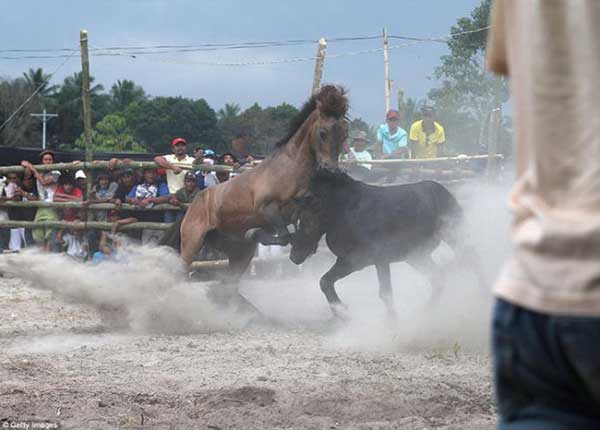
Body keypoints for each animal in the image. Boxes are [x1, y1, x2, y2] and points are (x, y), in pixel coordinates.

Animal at [284, 170, 486, 318]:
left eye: (304, 219)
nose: (294, 256)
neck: (345, 211)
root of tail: (442, 190)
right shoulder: (352, 261)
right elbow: (325, 281)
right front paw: (342, 312)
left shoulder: (378, 259)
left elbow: (385, 293)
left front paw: (391, 324)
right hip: (416, 256)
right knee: (438, 278)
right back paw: (425, 312)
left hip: (455, 237)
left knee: (473, 260)